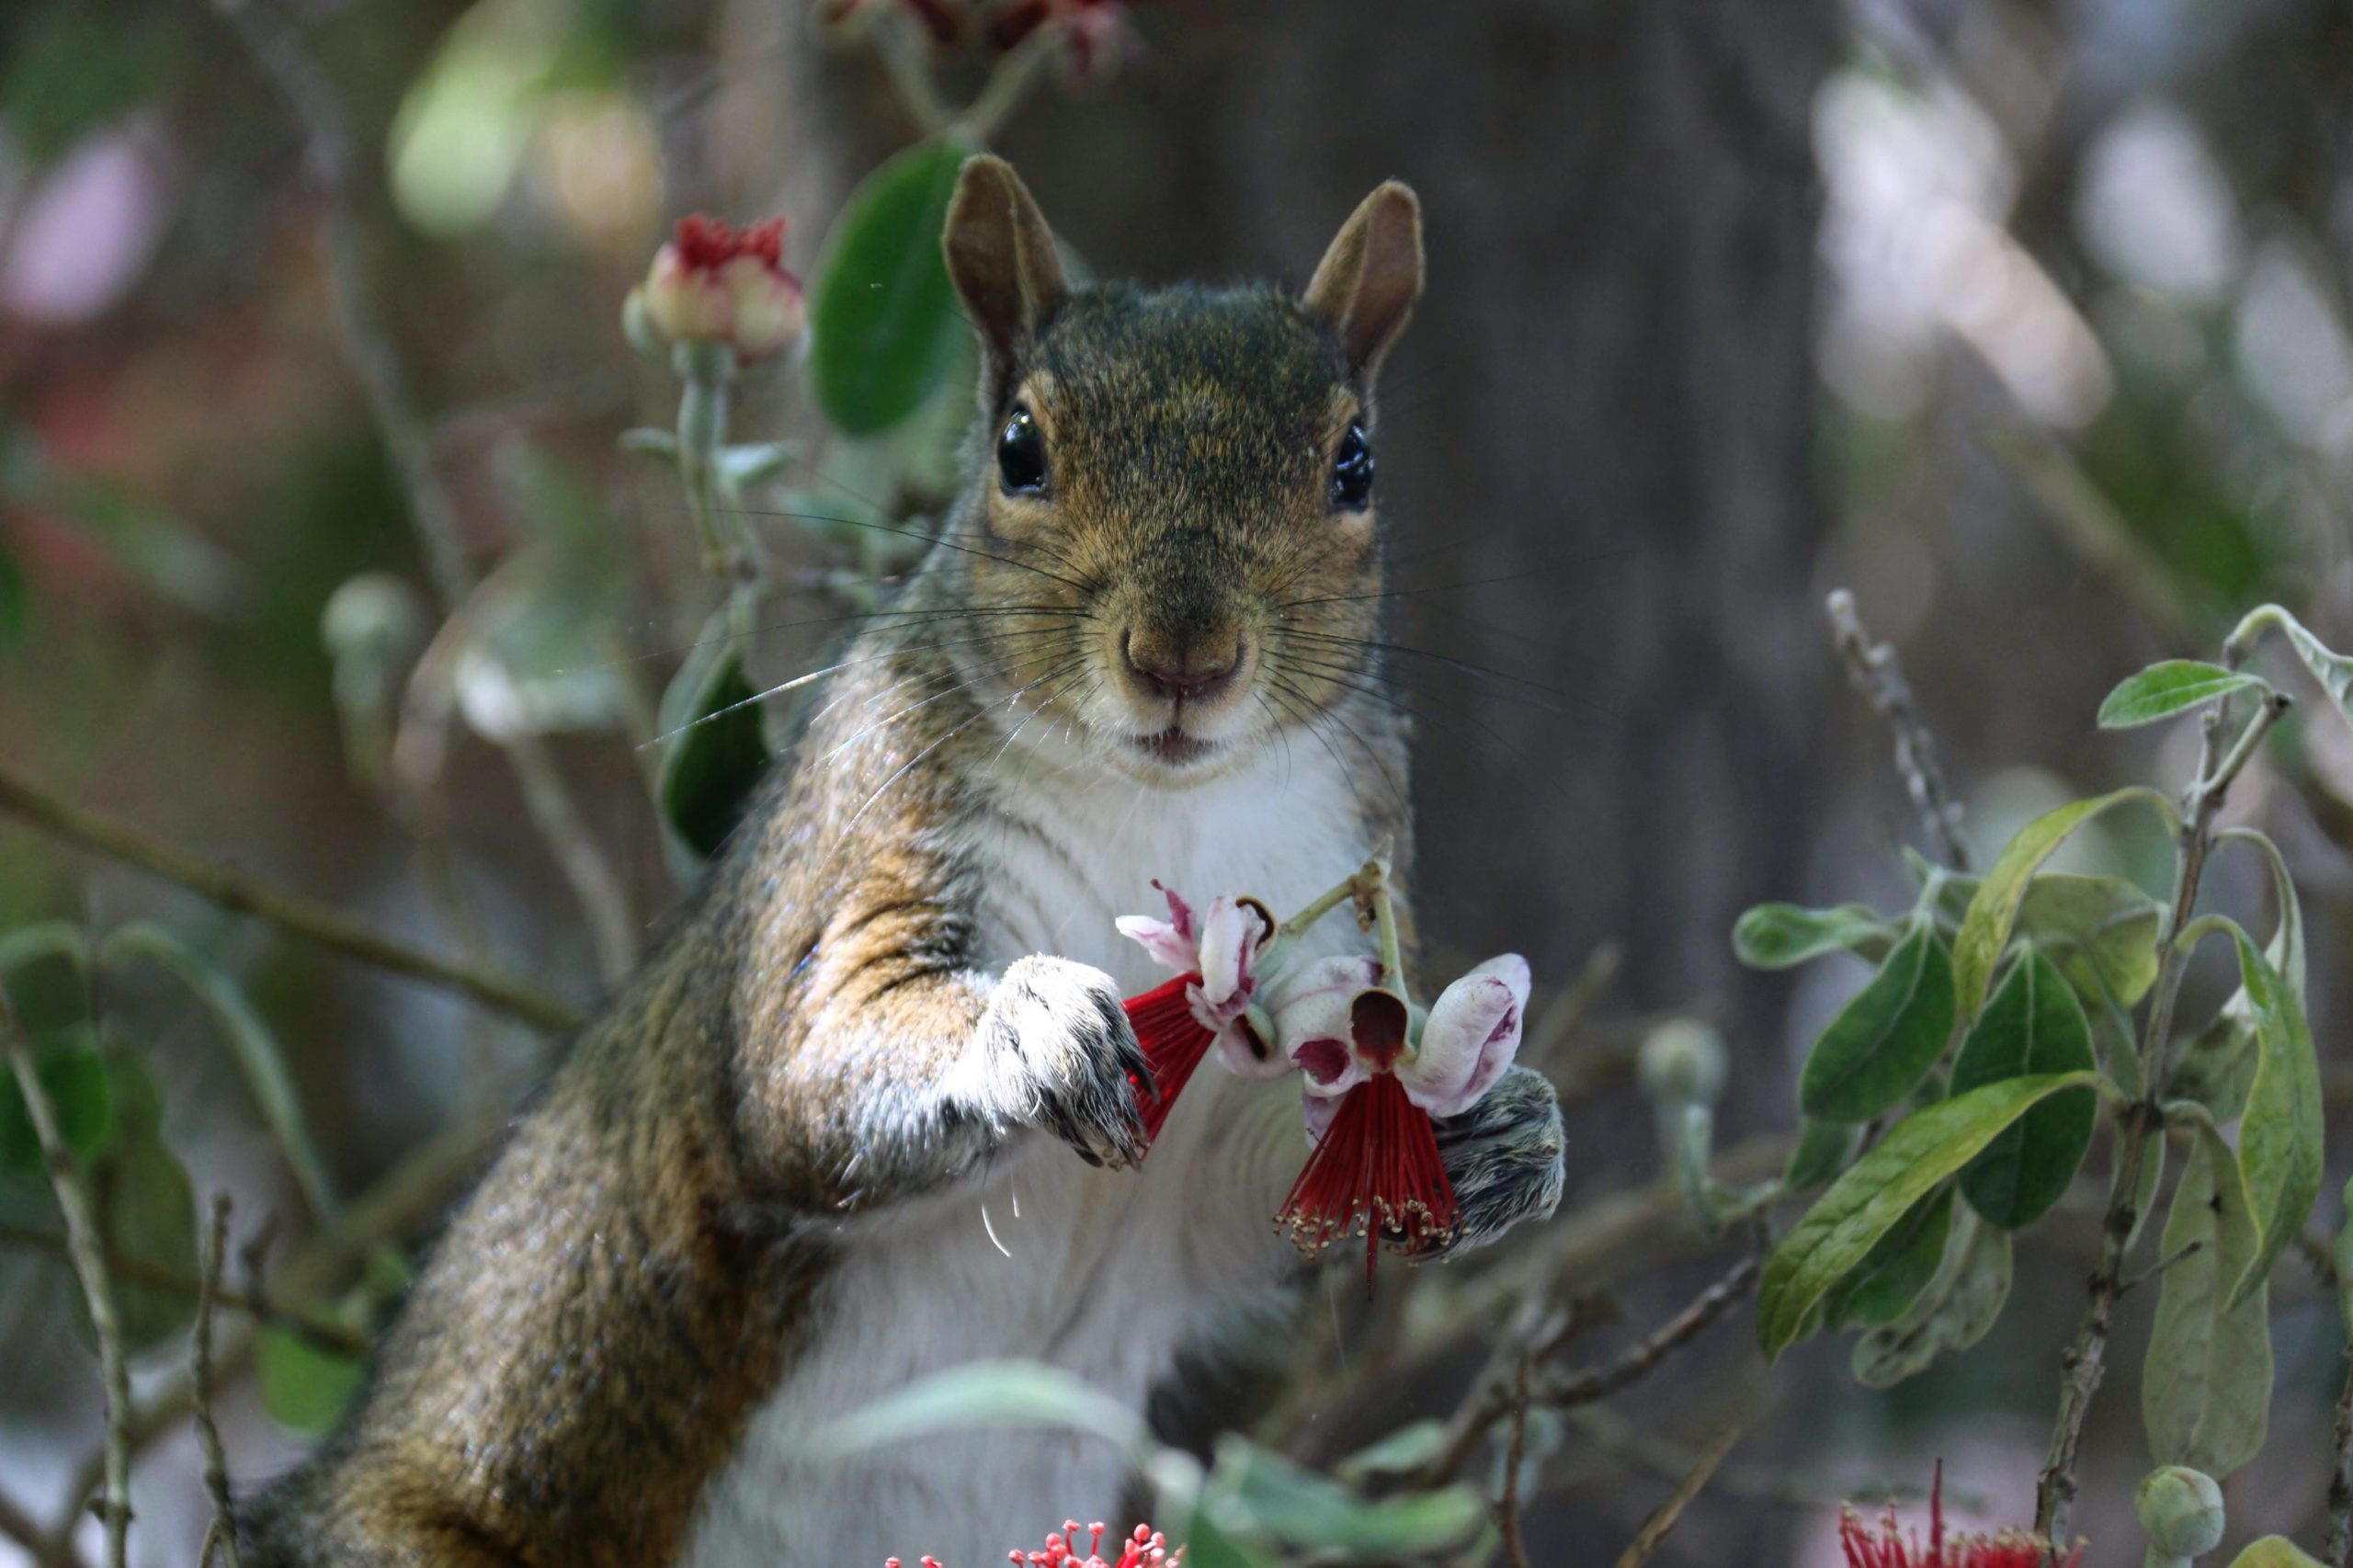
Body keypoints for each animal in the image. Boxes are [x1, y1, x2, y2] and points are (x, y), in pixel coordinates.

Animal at [243, 149, 1562, 1562]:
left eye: (1354, 463)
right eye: (1019, 450)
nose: (1184, 658)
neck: (1165, 807)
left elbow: (1257, 1189)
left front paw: (1497, 1132)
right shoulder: (870, 823)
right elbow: (799, 1068)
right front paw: (1027, 1029)